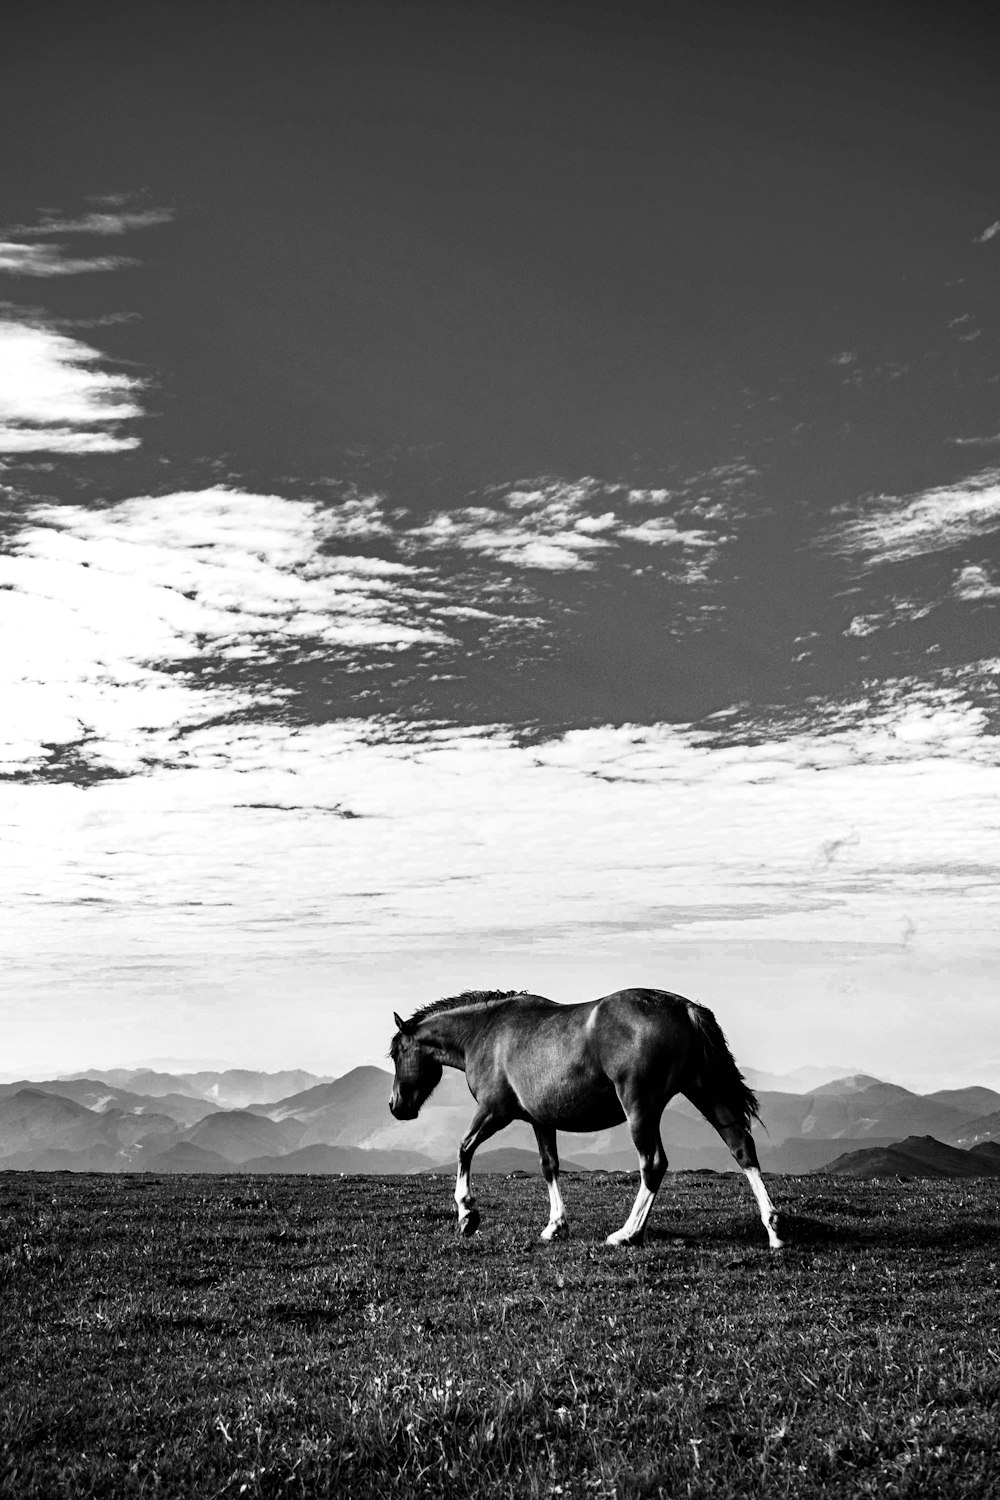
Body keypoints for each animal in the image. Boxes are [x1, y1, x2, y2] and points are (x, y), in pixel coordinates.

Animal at [386, 990, 785, 1248]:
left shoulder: (493, 1111)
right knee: (741, 1147)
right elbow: (549, 1166)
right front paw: (554, 1226)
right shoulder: (541, 1121)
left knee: (653, 1163)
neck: (484, 1032)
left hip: (640, 1108)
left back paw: (627, 1234)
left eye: (396, 1054)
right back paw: (773, 1228)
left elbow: (464, 1149)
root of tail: (684, 1008)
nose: (396, 1105)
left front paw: (467, 1214)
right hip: (706, 1093)